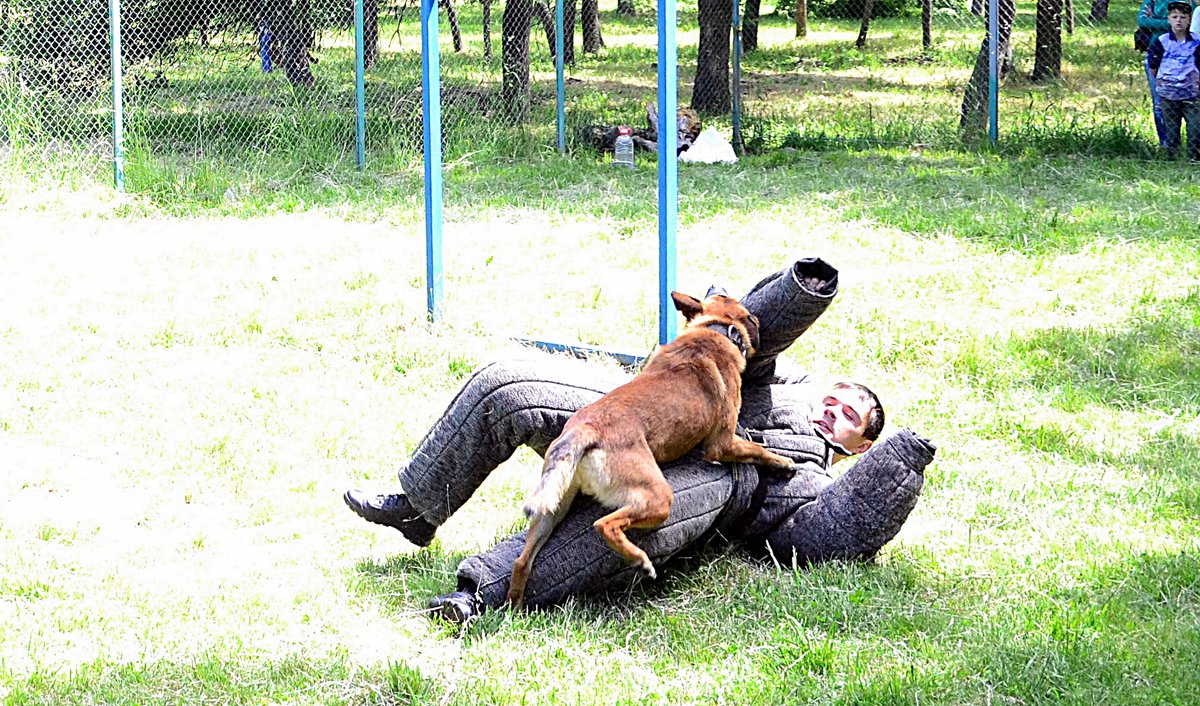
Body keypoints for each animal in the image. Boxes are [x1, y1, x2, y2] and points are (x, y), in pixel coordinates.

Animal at [506, 291, 796, 607]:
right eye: (752, 317)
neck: (714, 329)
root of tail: (585, 430)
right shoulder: (723, 442)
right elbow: (757, 449)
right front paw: (783, 463)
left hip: (551, 511)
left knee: (522, 561)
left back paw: (515, 606)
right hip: (659, 499)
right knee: (604, 524)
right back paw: (640, 560)